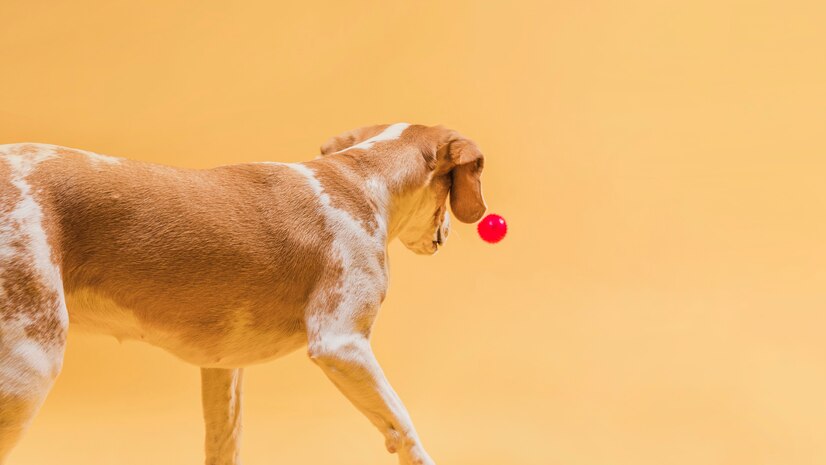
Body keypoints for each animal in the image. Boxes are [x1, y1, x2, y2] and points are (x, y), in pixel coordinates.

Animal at [0, 123, 482, 464]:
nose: (449, 231)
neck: (359, 179)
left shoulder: (222, 369)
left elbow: (224, 444)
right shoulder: (342, 344)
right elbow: (403, 426)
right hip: (29, 368)